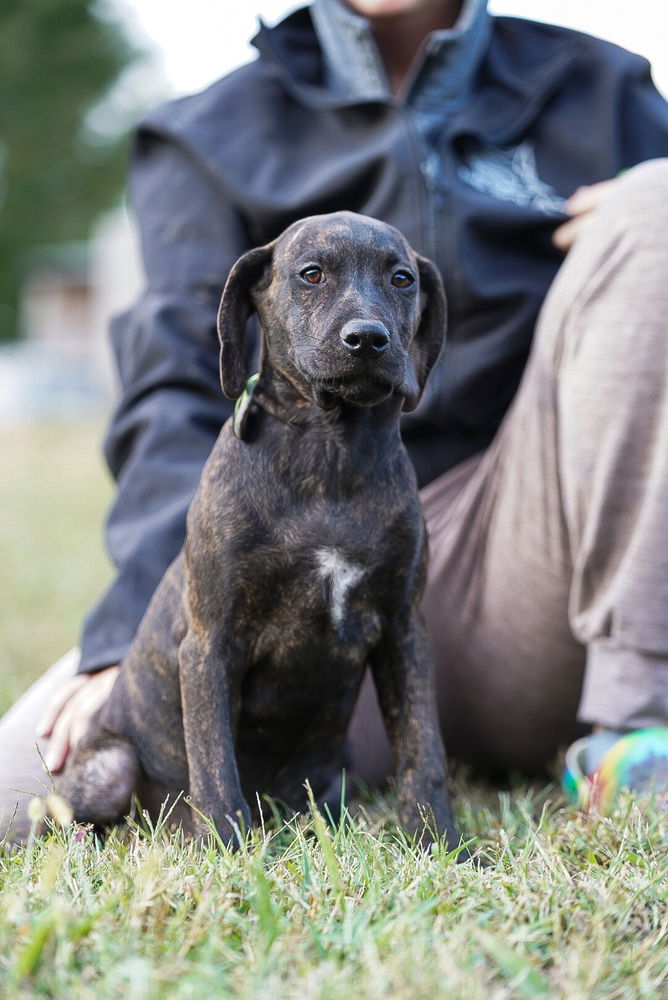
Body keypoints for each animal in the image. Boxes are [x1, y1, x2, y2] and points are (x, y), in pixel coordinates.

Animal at [58, 211, 460, 852]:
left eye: (402, 279)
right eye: (312, 274)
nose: (368, 339)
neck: (330, 448)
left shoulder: (404, 630)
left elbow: (423, 749)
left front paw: (440, 843)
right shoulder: (210, 643)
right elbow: (214, 763)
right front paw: (228, 853)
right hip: (106, 770)